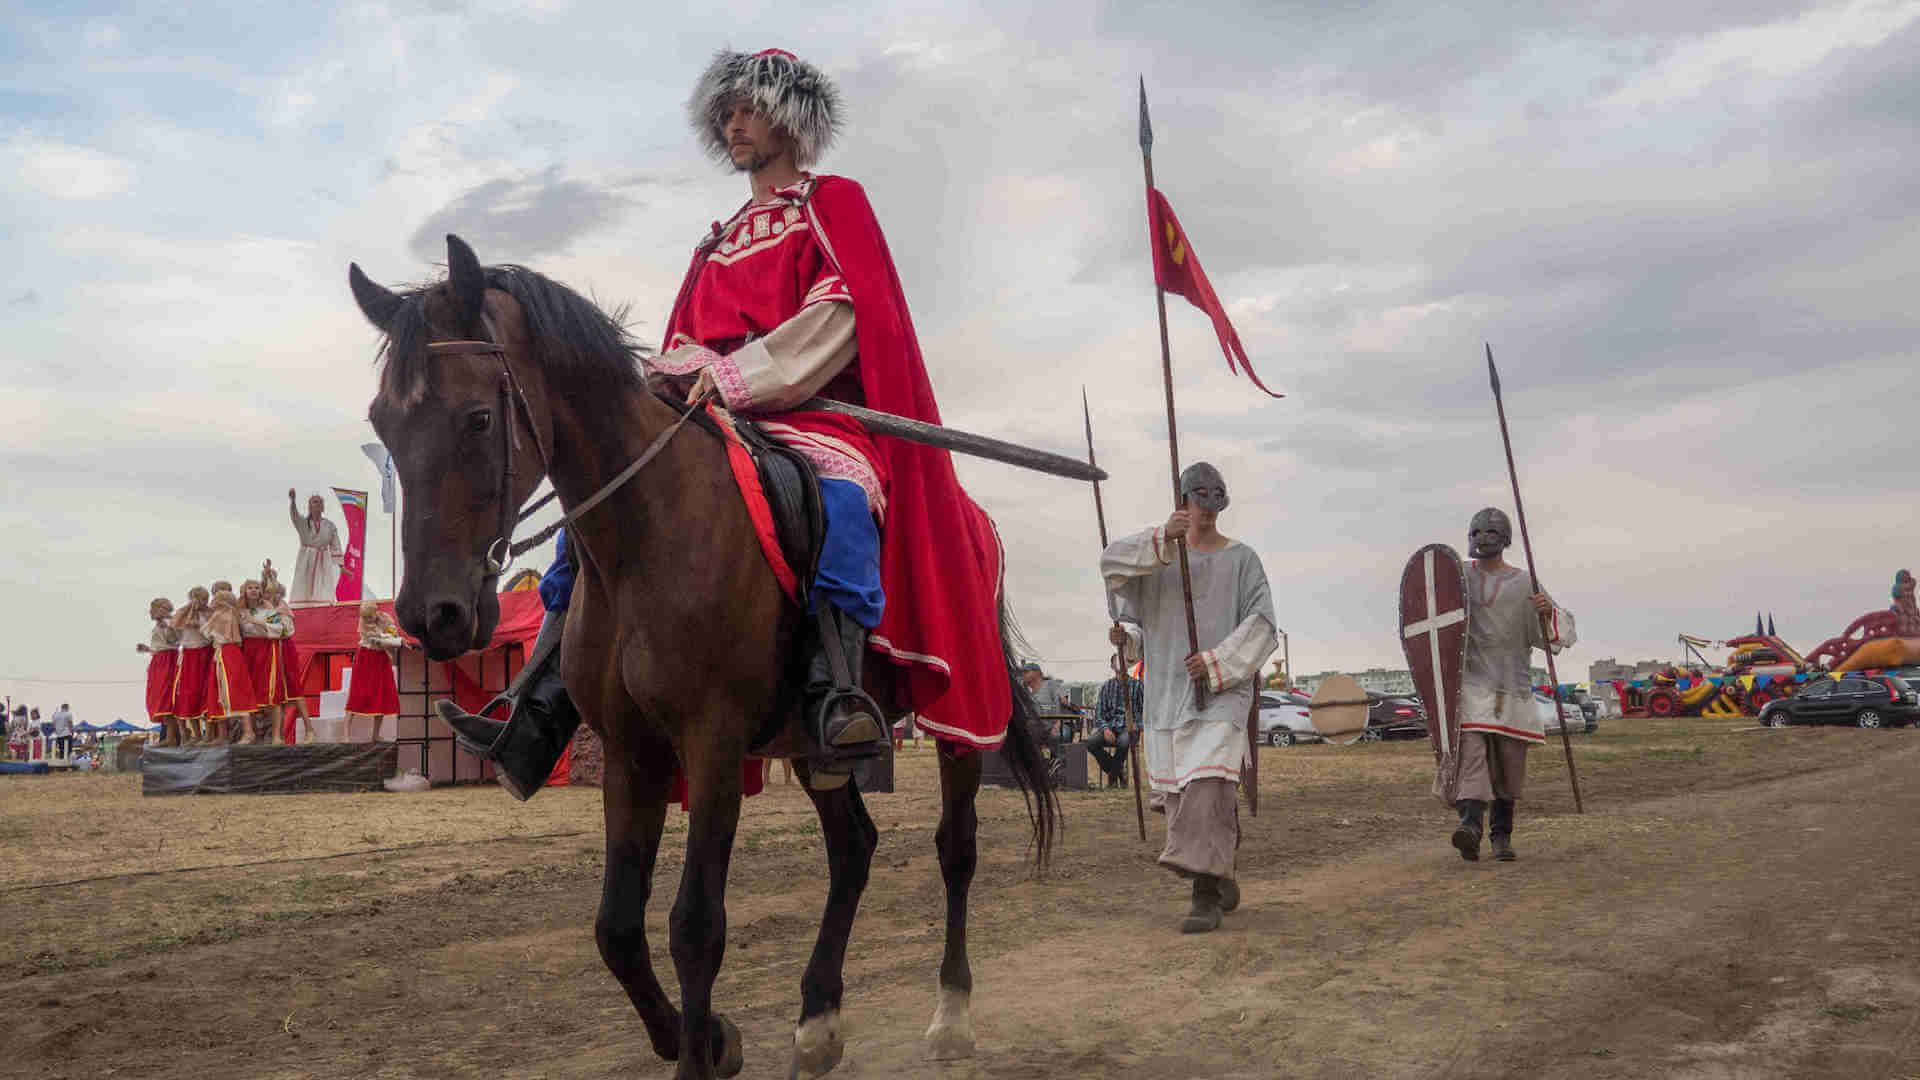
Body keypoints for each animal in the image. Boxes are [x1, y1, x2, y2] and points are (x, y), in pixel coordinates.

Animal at [353, 235, 1059, 1076]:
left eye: (479, 417)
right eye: (383, 425)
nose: (434, 616)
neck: (647, 526)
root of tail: (976, 520)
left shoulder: (712, 743)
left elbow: (695, 927)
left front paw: (701, 1046)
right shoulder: (633, 752)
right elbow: (617, 927)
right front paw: (708, 1039)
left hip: (958, 708)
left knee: (956, 846)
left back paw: (950, 1013)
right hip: (807, 743)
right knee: (854, 847)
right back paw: (818, 1020)